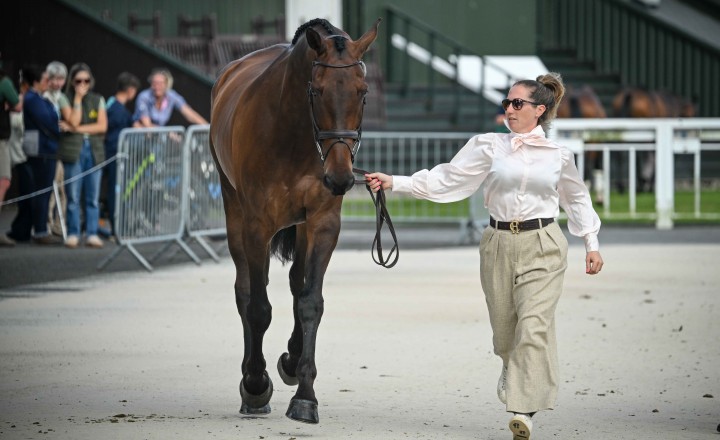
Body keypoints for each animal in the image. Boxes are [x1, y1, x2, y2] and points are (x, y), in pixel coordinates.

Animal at [209, 18, 381, 424]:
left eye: (363, 91)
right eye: (316, 91)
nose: (340, 178)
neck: (292, 134)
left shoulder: (322, 223)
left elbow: (310, 301)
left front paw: (304, 395)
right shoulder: (257, 225)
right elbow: (258, 307)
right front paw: (256, 386)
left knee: (295, 281)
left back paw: (291, 357)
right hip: (234, 211)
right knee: (245, 291)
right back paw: (252, 383)